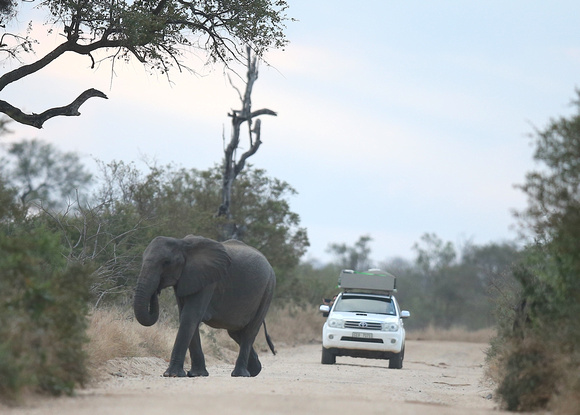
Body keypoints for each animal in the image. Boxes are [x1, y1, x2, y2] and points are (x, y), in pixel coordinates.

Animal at [134, 236, 276, 378]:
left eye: (166, 262)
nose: (156, 291)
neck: (183, 244)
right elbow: (186, 316)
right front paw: (197, 374)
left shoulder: (208, 280)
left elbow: (190, 316)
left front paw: (172, 374)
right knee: (235, 332)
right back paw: (254, 370)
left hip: (268, 290)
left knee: (249, 331)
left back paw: (240, 374)